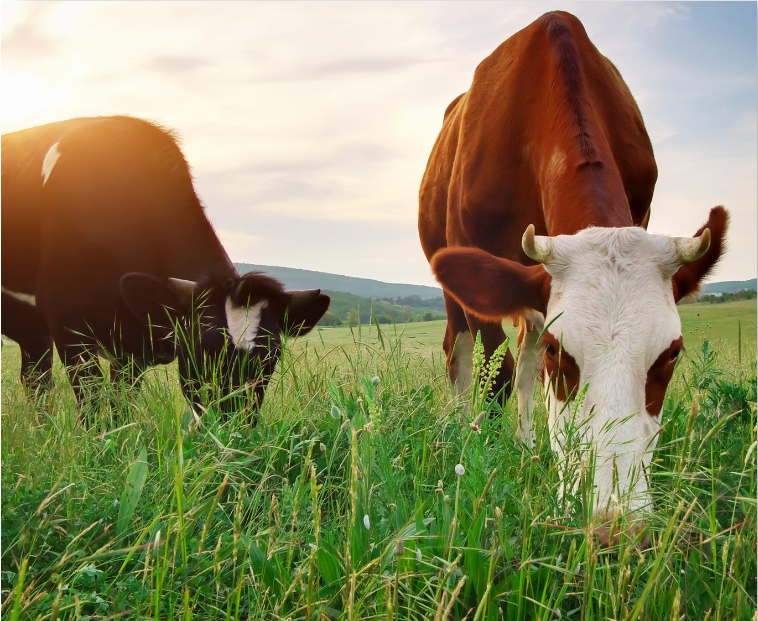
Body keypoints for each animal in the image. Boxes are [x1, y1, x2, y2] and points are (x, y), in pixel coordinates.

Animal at [1, 116, 330, 419]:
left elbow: (121, 406)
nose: (234, 426)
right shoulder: (68, 324)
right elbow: (92, 405)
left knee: (36, 382)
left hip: (33, 332)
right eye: (203, 350)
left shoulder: (131, 349)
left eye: (270, 358)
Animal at [419, 12, 728, 543]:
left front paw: (532, 450)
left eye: (671, 355)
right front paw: (489, 456)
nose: (613, 527)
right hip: (453, 286)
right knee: (460, 351)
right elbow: (497, 376)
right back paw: (464, 427)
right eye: (559, 352)